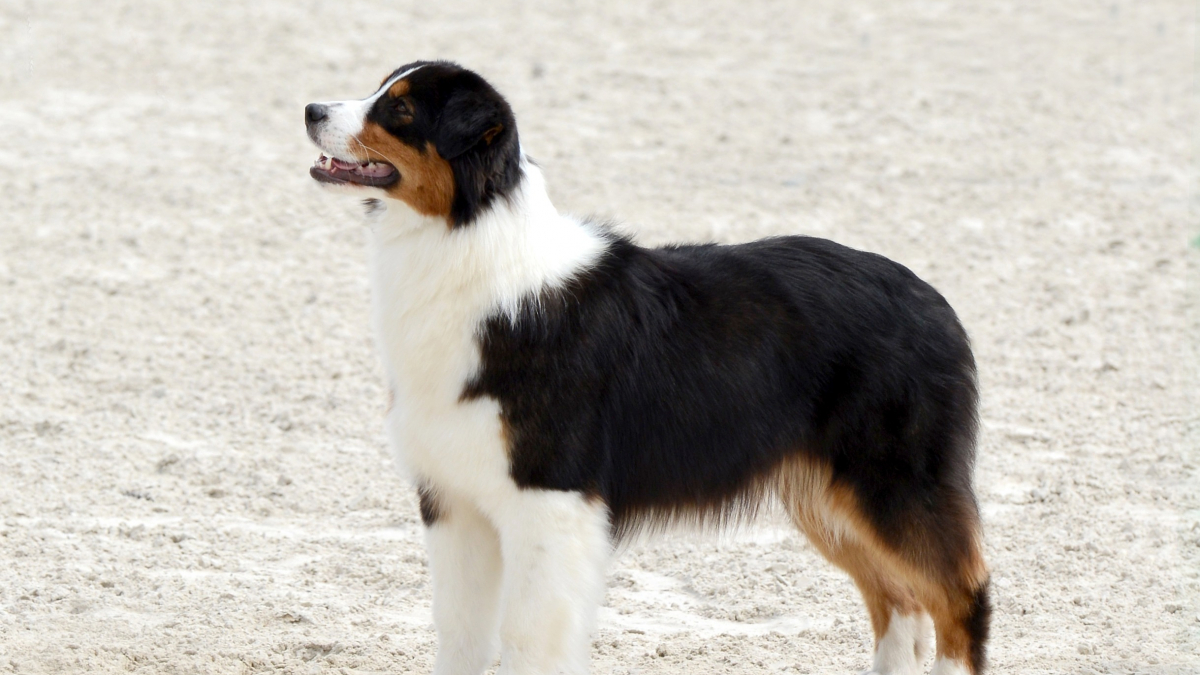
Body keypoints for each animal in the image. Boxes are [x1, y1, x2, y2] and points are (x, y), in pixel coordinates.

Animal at [304, 60, 988, 667]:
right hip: (831, 498)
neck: (464, 244)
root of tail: (936, 301)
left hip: (896, 486)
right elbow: (460, 632)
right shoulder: (452, 498)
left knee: (961, 596)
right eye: (380, 89)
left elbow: (528, 638)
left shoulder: (550, 499)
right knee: (899, 602)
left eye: (400, 110)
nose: (310, 109)